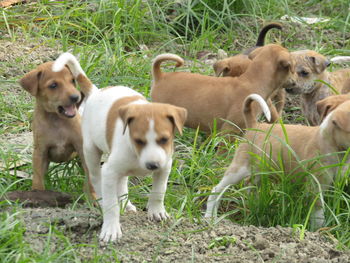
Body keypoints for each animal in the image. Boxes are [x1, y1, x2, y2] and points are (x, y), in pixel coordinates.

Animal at [19, 52, 95, 196]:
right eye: (53, 85)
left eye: (72, 81)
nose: (75, 97)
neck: (57, 121)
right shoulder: (40, 153)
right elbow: (38, 179)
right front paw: (38, 195)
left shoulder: (81, 149)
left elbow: (90, 179)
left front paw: (92, 198)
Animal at [77, 79, 187, 243]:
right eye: (138, 141)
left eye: (164, 139)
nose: (152, 165)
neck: (136, 153)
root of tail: (96, 91)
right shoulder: (109, 171)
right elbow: (111, 205)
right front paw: (111, 229)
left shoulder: (165, 166)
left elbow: (159, 191)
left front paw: (157, 211)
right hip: (91, 151)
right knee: (96, 179)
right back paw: (103, 202)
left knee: (122, 183)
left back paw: (126, 205)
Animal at [204, 94, 350, 228]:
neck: (328, 140)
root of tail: (254, 125)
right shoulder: (316, 185)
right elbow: (318, 211)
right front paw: (319, 230)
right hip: (238, 170)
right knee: (217, 190)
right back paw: (209, 217)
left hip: (259, 170)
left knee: (250, 186)